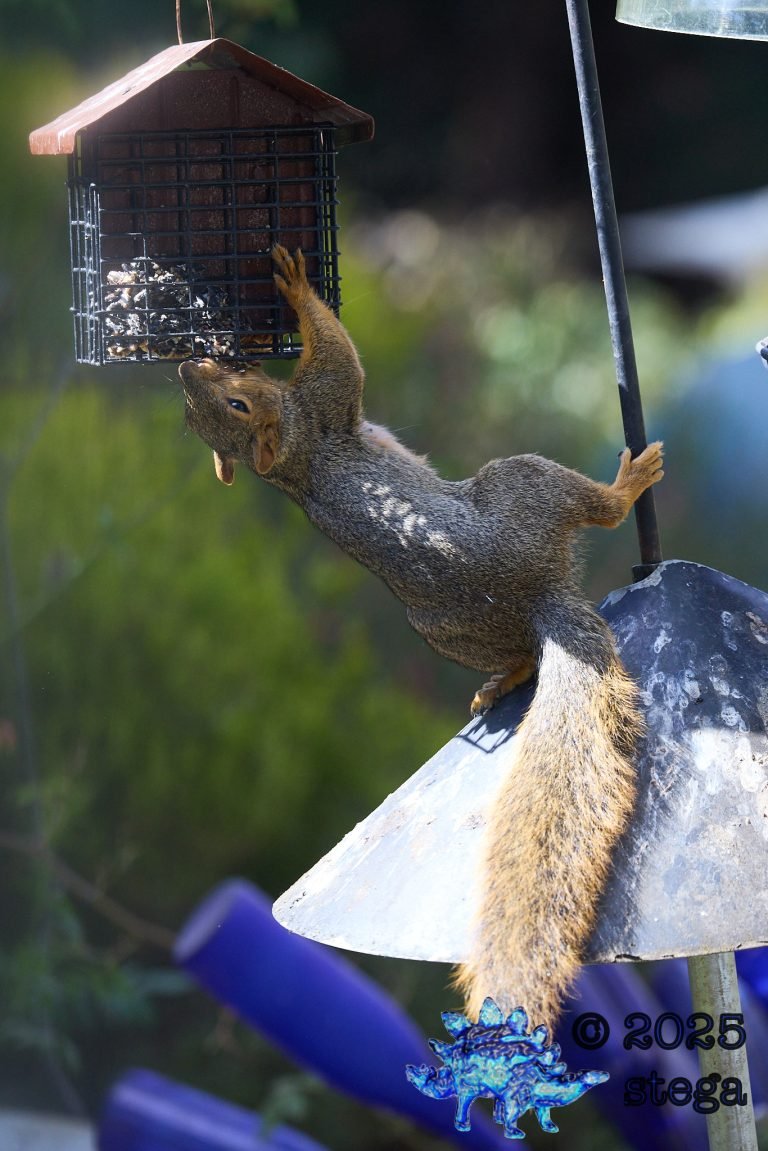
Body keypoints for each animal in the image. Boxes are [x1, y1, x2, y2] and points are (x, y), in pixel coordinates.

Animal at [179, 246, 664, 1031]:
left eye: (219, 409)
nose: (189, 366)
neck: (290, 459)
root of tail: (538, 595)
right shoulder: (327, 402)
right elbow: (338, 353)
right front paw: (298, 286)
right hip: (521, 483)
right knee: (594, 508)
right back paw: (626, 484)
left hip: (439, 628)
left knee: (517, 654)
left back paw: (501, 678)